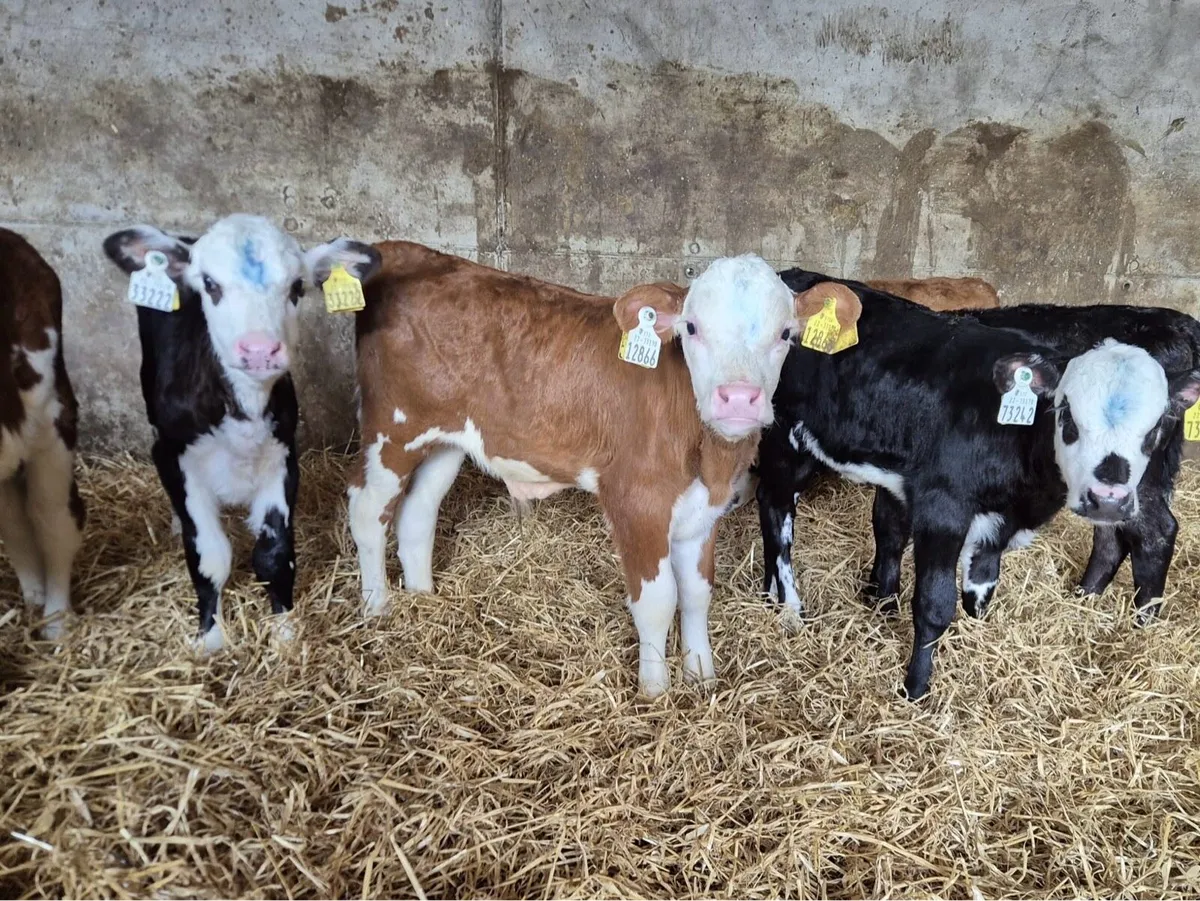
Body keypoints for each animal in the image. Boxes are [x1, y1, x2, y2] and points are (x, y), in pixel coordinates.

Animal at [103, 215, 380, 652]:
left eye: (297, 287)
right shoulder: (173, 458)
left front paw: (285, 632)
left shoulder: (282, 458)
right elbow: (210, 556)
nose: (260, 350)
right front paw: (210, 636)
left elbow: (273, 554)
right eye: (209, 284)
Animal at [344, 243, 848, 697]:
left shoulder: (703, 510)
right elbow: (658, 600)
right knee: (368, 509)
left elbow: (698, 592)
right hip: (392, 429)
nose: (739, 398)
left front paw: (702, 677)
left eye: (785, 333)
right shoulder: (635, 500)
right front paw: (655, 691)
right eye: (692, 328)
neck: (710, 459)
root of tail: (407, 251)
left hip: (447, 439)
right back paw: (377, 608)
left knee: (417, 513)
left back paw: (423, 596)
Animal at [754, 278, 1200, 700]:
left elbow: (973, 584)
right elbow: (932, 598)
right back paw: (787, 605)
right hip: (784, 437)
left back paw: (1111, 612)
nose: (1106, 498)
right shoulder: (941, 505)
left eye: (1155, 424)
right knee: (775, 509)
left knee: (1137, 534)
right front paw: (915, 687)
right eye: (1067, 413)